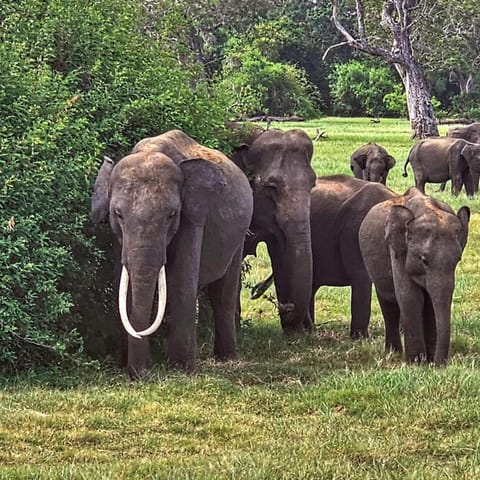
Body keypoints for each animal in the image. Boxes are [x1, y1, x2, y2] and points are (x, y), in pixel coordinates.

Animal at [360, 188, 468, 364]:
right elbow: (410, 297)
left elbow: (429, 301)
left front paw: (428, 361)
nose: (439, 365)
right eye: (423, 260)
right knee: (388, 302)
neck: (428, 209)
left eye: (458, 260)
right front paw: (416, 363)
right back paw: (393, 353)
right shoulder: (398, 250)